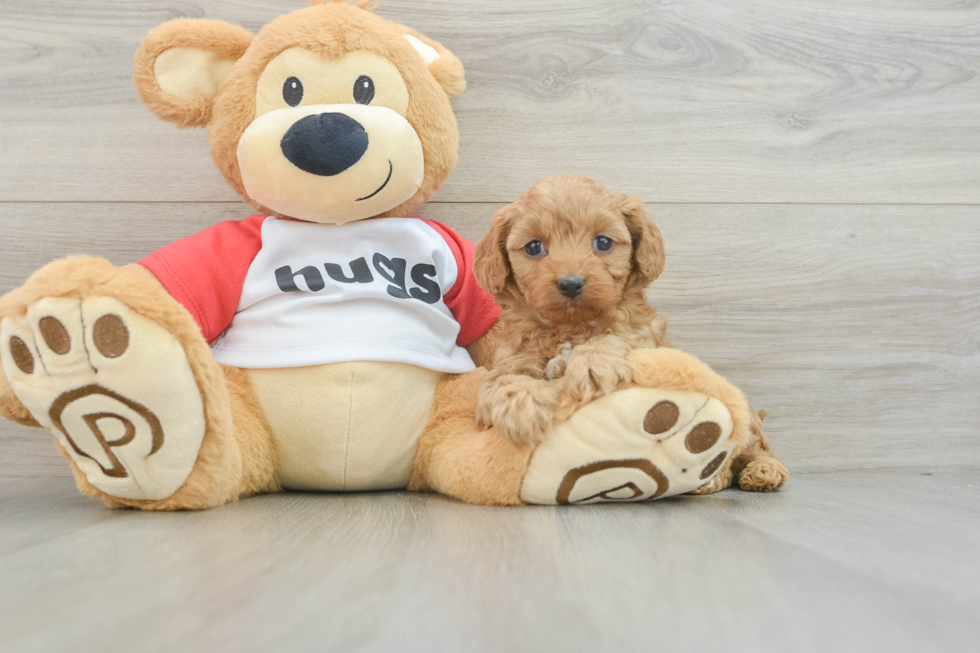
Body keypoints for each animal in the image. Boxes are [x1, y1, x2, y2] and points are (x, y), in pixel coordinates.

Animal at [472, 176, 788, 492]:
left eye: (603, 242)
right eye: (534, 247)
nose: (571, 283)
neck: (571, 327)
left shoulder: (642, 339)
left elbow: (614, 339)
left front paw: (592, 366)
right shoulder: (511, 358)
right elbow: (501, 381)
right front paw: (522, 410)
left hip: (746, 421)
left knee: (752, 448)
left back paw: (761, 472)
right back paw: (713, 480)